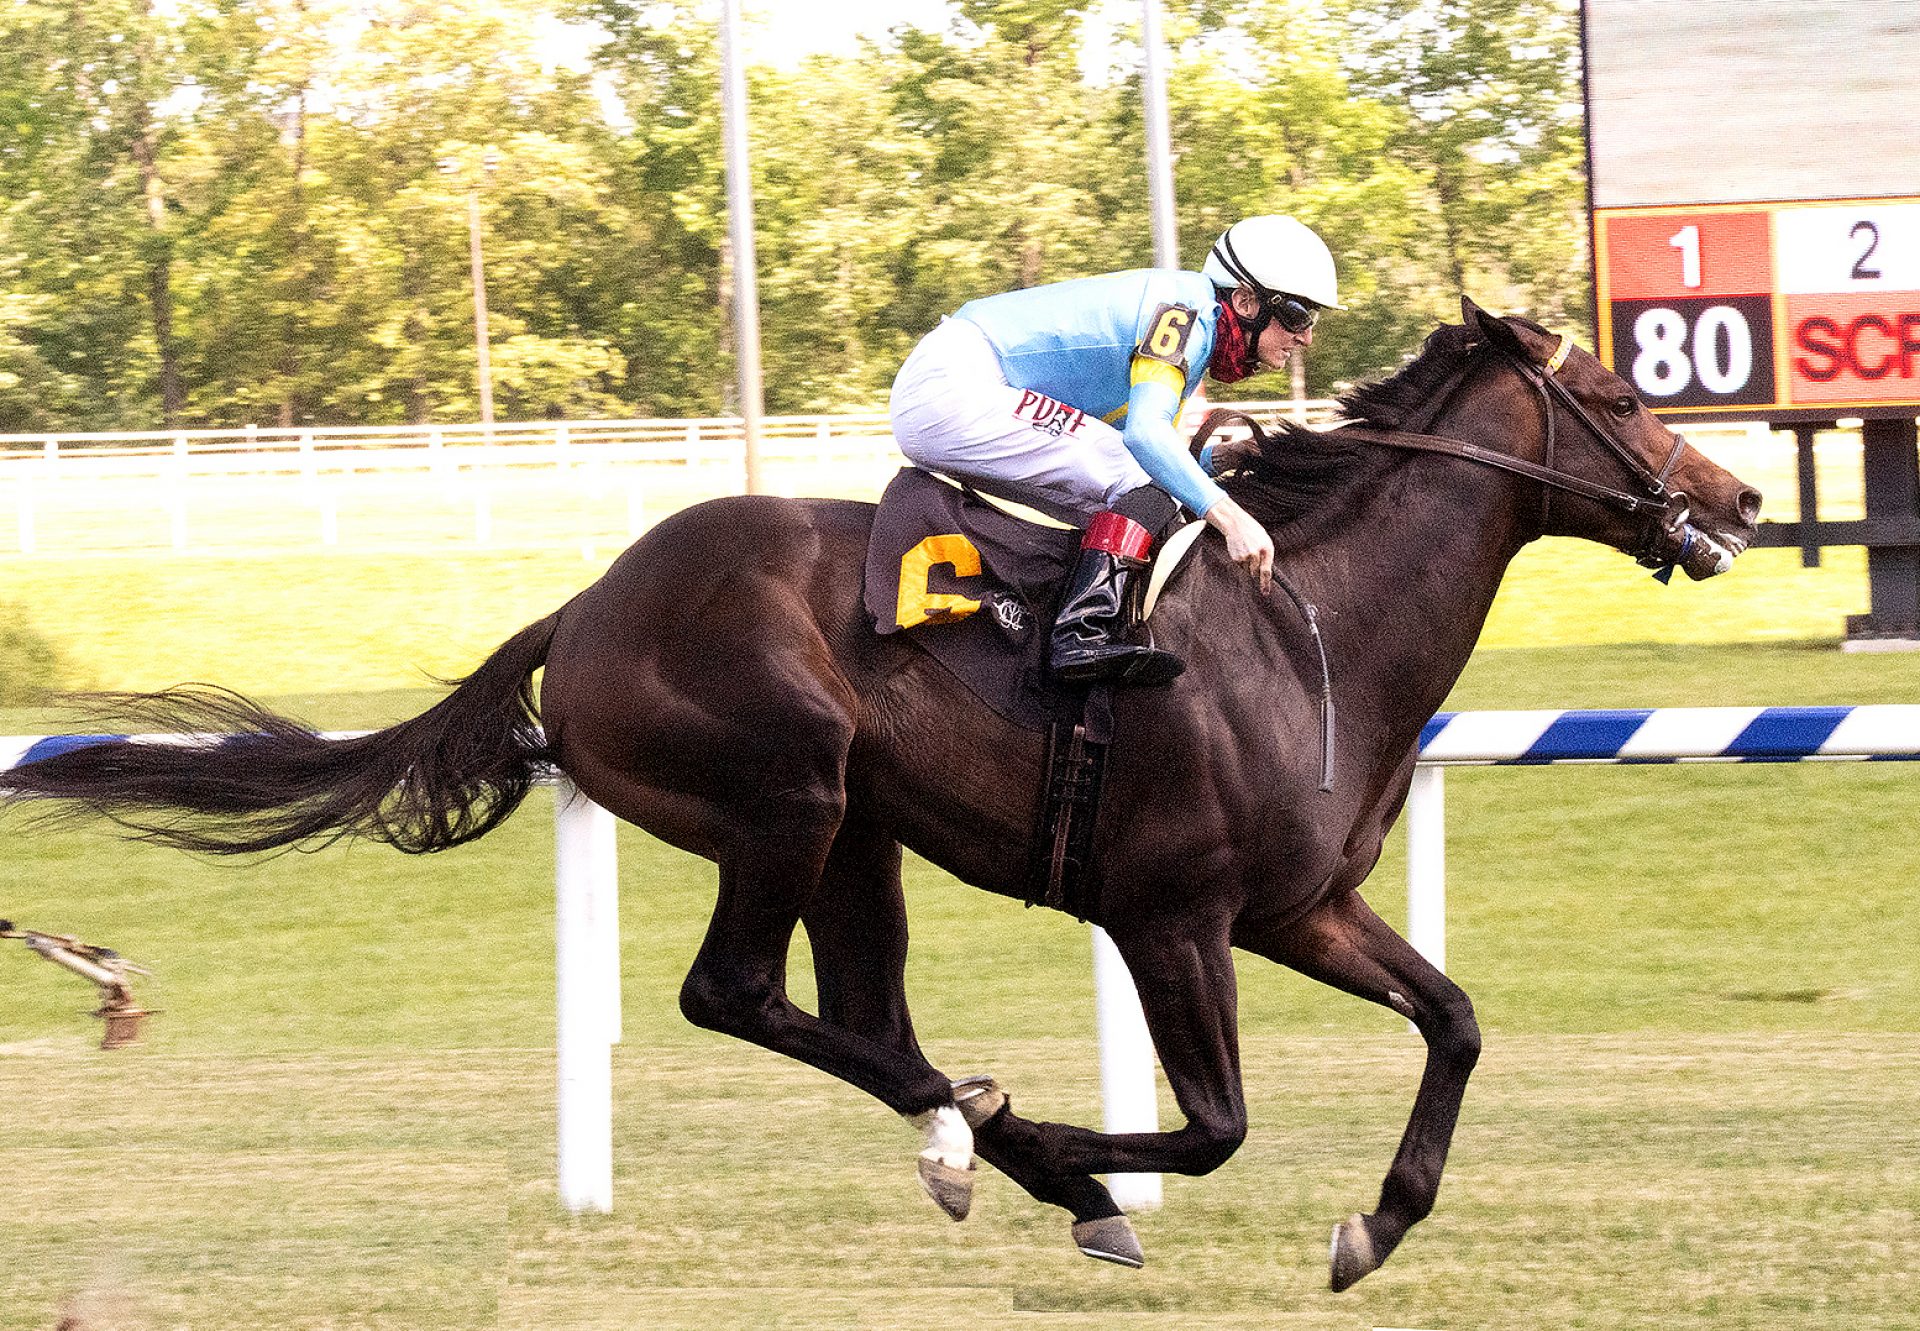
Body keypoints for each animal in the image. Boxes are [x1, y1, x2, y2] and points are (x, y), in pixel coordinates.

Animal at [0, 297, 1758, 1290]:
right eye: (1620, 394)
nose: (1737, 495)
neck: (1305, 627)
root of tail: (581, 609)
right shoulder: (1172, 913)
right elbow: (1213, 1125)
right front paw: (1074, 1145)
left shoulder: (1303, 906)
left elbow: (1453, 1020)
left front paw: (1374, 1222)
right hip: (788, 791)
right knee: (734, 992)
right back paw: (1009, 1145)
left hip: (861, 833)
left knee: (855, 1010)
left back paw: (964, 1137)